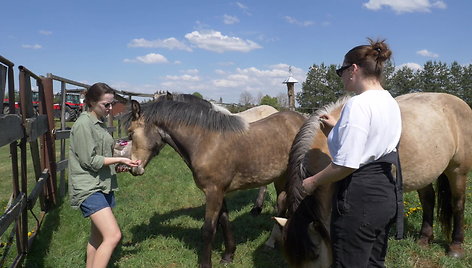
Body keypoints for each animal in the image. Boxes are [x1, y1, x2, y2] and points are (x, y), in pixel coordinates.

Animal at [124, 96, 306, 268]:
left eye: (131, 133)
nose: (133, 168)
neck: (205, 141)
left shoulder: (213, 191)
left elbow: (208, 229)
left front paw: (206, 263)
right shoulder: (219, 191)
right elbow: (224, 221)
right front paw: (228, 255)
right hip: (281, 178)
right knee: (282, 205)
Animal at [278, 92, 470, 268]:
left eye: (315, 257)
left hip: (457, 170)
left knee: (458, 203)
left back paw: (456, 247)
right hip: (425, 172)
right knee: (428, 200)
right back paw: (424, 239)